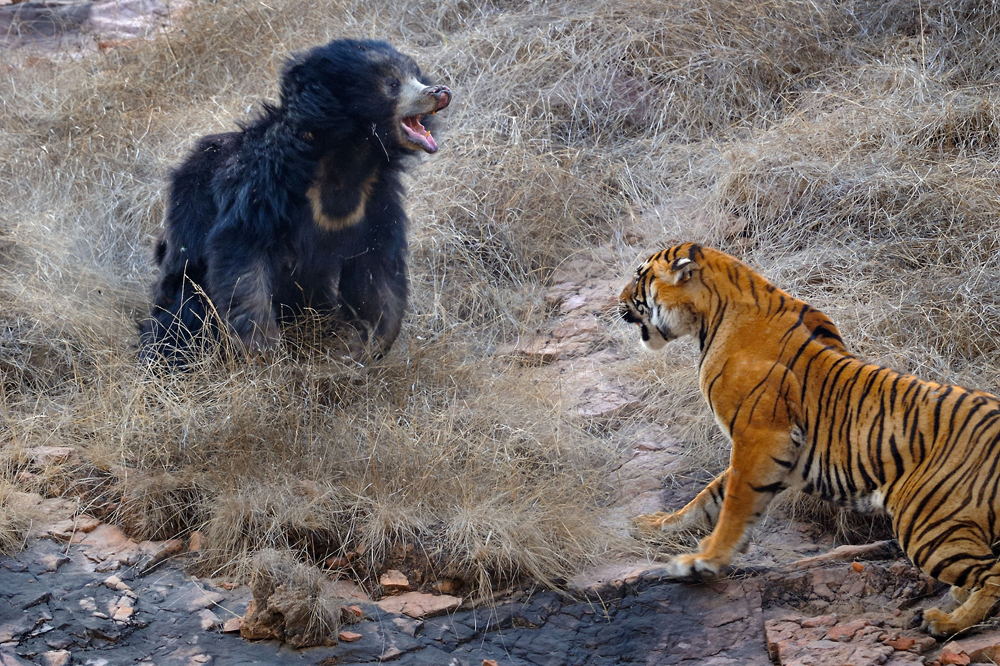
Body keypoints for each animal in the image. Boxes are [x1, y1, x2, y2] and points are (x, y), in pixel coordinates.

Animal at [139, 39, 452, 360]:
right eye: (392, 83)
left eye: (415, 75)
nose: (441, 91)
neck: (349, 157)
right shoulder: (265, 184)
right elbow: (241, 251)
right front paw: (262, 347)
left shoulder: (375, 198)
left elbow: (375, 267)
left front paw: (372, 343)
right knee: (185, 313)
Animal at [620, 243, 1000, 632]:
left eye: (639, 276)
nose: (617, 301)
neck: (710, 317)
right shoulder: (772, 452)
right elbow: (709, 498)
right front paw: (657, 526)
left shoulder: (762, 437)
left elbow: (733, 506)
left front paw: (704, 561)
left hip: (926, 523)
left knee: (993, 574)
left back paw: (946, 621)